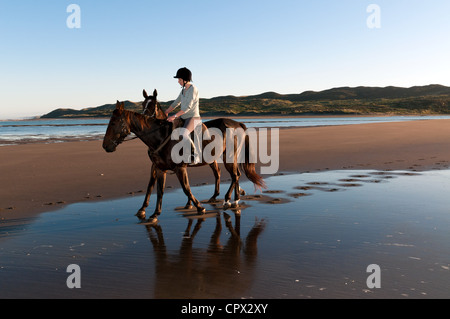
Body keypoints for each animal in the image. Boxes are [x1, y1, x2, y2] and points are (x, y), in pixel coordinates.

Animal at [103, 101, 264, 224]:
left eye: (113, 122)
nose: (105, 146)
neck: (161, 137)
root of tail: (238, 123)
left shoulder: (180, 168)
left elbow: (186, 188)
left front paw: (199, 207)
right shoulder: (159, 168)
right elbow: (158, 190)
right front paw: (153, 214)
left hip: (229, 156)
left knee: (234, 175)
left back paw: (228, 200)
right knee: (232, 175)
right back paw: (232, 199)